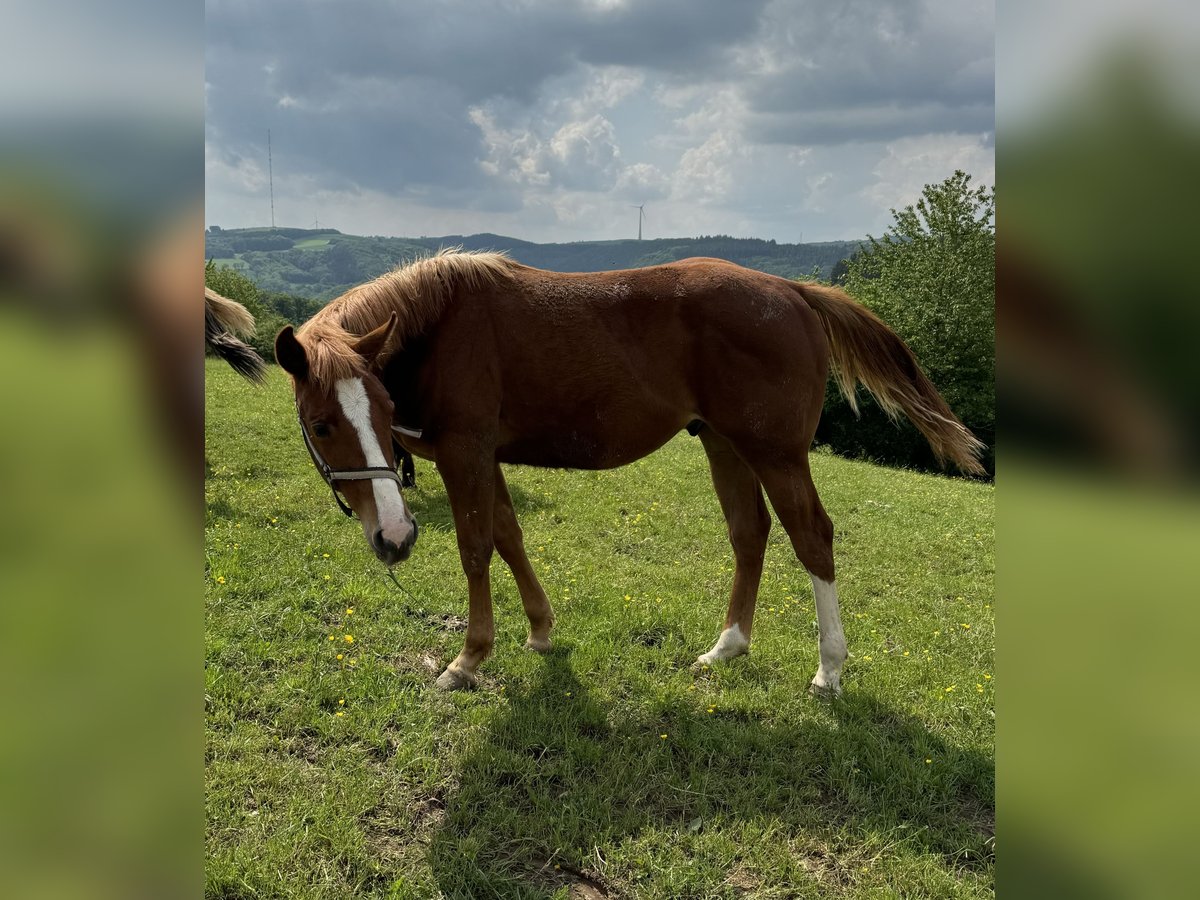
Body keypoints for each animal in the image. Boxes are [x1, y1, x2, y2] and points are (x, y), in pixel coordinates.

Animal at [274, 250, 984, 696]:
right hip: (724, 444)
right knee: (749, 533)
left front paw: (469, 657)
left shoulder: (464, 452)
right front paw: (539, 630)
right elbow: (510, 536)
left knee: (811, 535)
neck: (441, 324)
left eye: (383, 410)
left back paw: (830, 667)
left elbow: (476, 548)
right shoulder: (486, 456)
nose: (394, 539)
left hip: (776, 454)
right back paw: (727, 646)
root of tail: (794, 294)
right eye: (321, 423)